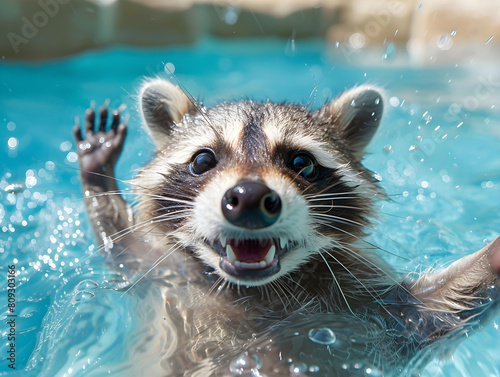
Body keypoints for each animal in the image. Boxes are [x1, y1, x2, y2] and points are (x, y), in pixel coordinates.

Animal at [73, 78, 500, 374]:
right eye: (203, 161)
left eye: (300, 163)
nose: (249, 197)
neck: (255, 291)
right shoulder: (162, 270)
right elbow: (123, 250)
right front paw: (97, 175)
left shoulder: (365, 306)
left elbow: (433, 311)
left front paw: (492, 256)